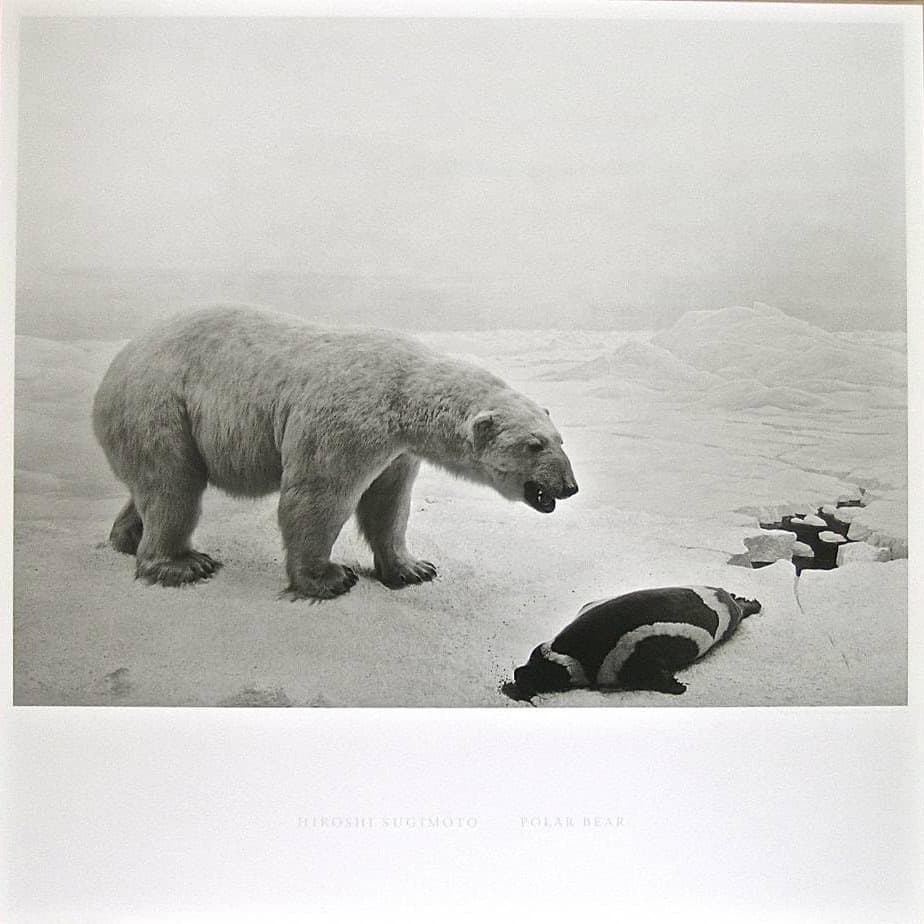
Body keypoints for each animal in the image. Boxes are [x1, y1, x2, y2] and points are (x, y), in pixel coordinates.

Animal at [92, 305, 579, 600]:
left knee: (153, 485)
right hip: (160, 406)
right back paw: (182, 563)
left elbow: (389, 503)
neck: (405, 392)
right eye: (534, 445)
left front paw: (413, 568)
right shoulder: (348, 420)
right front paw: (328, 577)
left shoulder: (397, 450)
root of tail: (116, 364)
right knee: (173, 485)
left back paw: (127, 537)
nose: (570, 486)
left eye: (560, 439)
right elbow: (319, 494)